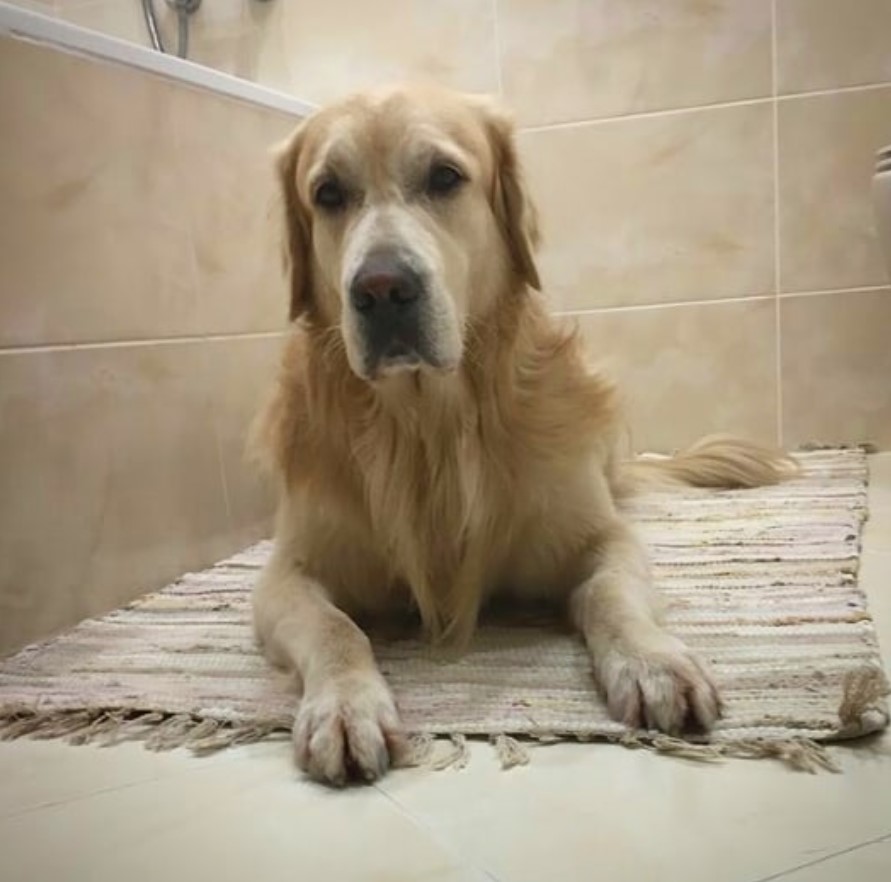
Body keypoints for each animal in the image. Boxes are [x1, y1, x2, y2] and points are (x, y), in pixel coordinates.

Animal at [249, 84, 796, 784]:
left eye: (445, 177)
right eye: (327, 194)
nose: (381, 288)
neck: (430, 423)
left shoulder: (601, 536)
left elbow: (609, 592)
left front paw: (652, 662)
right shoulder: (287, 571)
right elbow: (334, 627)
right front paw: (345, 706)